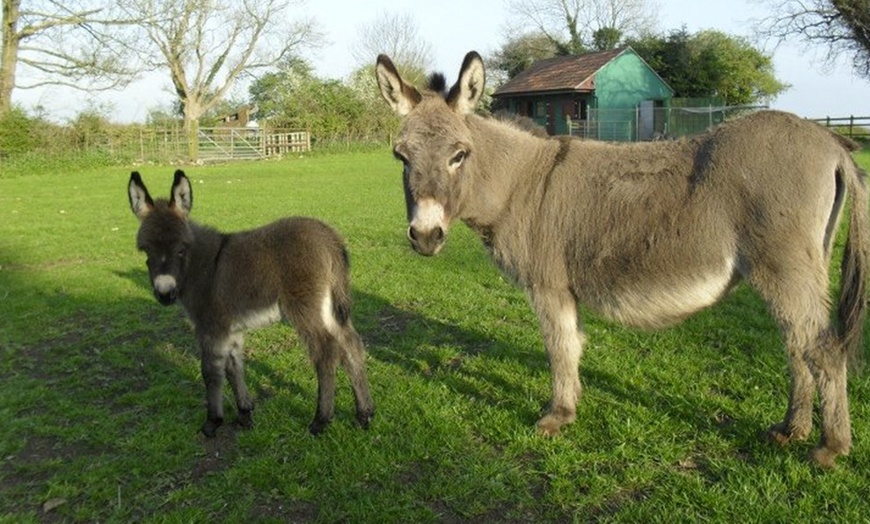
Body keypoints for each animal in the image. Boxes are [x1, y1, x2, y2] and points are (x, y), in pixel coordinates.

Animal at [129, 170, 374, 436]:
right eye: (145, 250)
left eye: (182, 249)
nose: (165, 293)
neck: (204, 267)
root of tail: (330, 237)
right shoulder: (231, 330)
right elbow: (234, 367)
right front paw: (245, 414)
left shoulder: (211, 327)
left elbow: (211, 372)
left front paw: (212, 422)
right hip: (328, 306)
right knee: (350, 344)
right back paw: (365, 414)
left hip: (304, 307)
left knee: (326, 351)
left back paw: (321, 420)